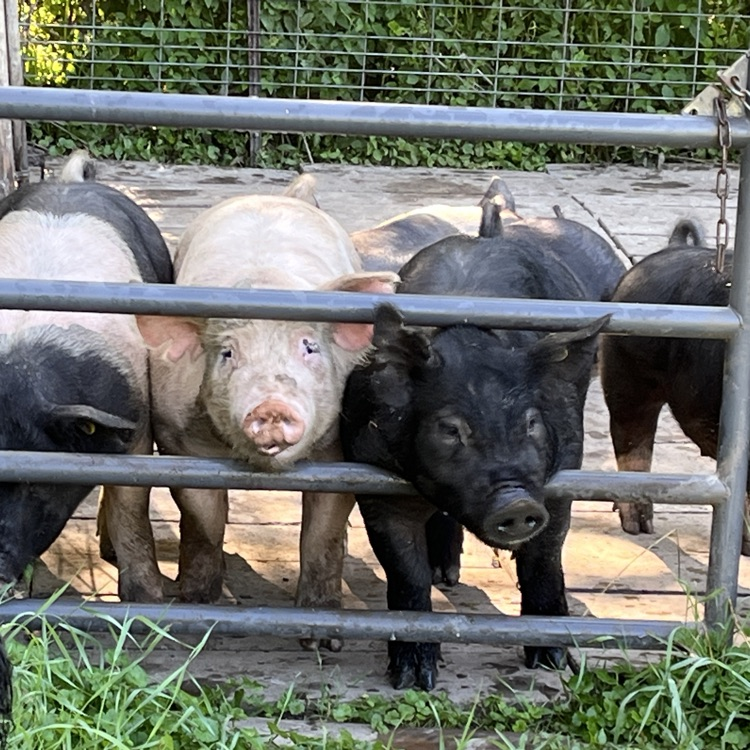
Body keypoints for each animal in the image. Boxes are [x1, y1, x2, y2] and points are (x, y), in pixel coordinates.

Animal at [135, 175, 398, 648]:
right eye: (227, 353)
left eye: (309, 347)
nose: (272, 406)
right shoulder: (178, 440)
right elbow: (204, 522)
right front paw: (197, 610)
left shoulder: (340, 450)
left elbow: (322, 533)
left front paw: (321, 640)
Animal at [340, 200, 612, 690]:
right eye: (450, 428)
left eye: (531, 422)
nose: (515, 502)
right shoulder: (373, 477)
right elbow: (404, 571)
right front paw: (414, 679)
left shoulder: (563, 470)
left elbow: (545, 555)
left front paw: (551, 662)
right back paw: (443, 575)